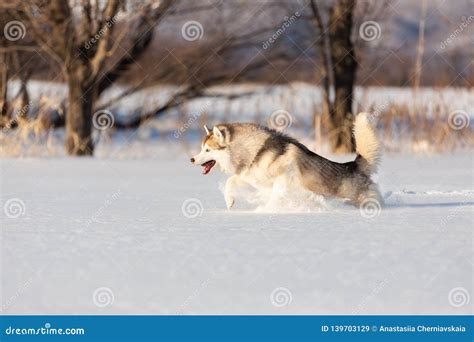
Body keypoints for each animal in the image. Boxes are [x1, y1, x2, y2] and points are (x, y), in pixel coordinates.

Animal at [191, 112, 380, 208]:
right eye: (201, 148)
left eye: (207, 150)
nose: (192, 159)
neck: (255, 151)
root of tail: (353, 165)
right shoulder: (251, 177)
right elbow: (231, 181)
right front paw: (229, 201)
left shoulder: (284, 178)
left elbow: (276, 195)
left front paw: (269, 210)